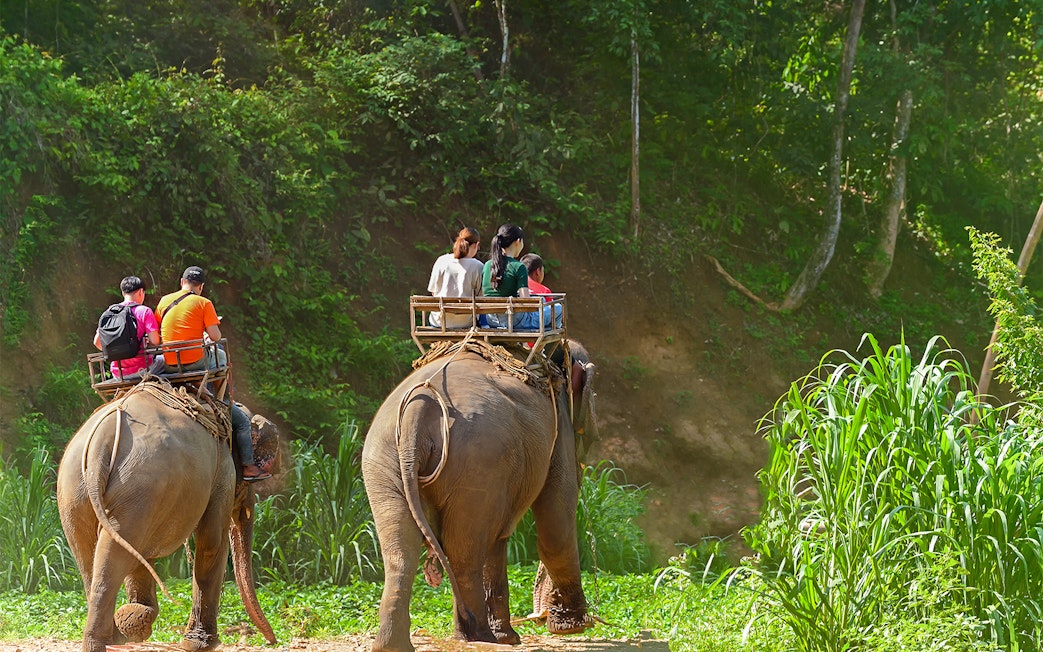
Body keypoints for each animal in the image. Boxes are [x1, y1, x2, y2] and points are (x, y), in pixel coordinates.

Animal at [56, 380, 279, 652]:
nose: (271, 641)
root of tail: (102, 441)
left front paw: (137, 619)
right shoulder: (223, 470)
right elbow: (211, 542)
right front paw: (200, 644)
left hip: (76, 490)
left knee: (95, 553)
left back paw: (118, 633)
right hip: (138, 484)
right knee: (116, 551)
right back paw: (109, 638)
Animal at [362, 339, 598, 652]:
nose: (542, 615)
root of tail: (419, 408)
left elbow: (499, 538)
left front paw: (510, 637)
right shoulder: (559, 424)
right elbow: (555, 521)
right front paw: (574, 627)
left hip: (384, 461)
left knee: (401, 552)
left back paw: (399, 644)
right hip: (478, 462)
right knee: (464, 553)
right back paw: (478, 636)